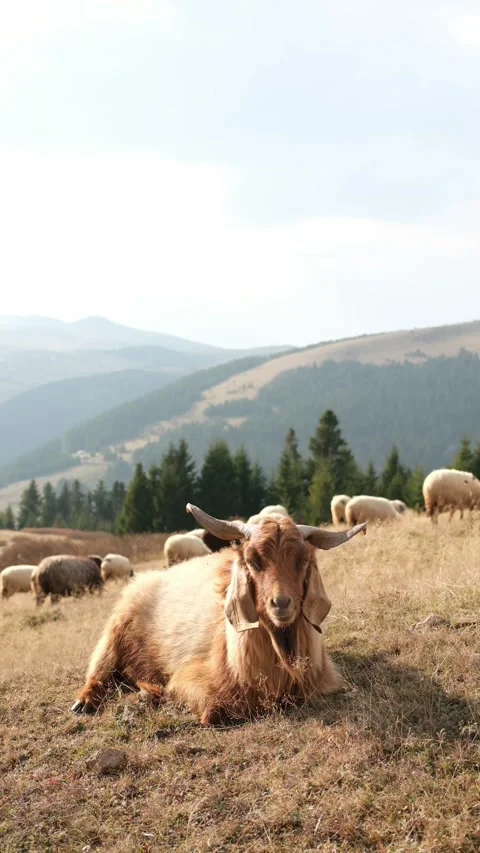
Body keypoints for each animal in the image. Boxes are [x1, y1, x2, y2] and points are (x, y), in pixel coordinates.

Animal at [72, 504, 366, 725]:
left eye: (303, 561)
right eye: (253, 561)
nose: (281, 604)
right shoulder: (190, 678)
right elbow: (213, 712)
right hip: (113, 634)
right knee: (99, 671)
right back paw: (86, 702)